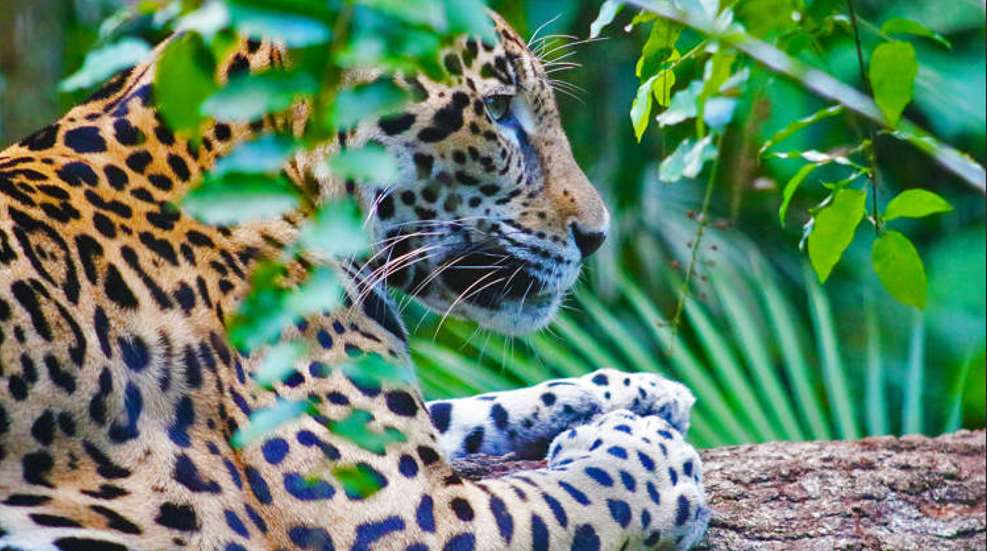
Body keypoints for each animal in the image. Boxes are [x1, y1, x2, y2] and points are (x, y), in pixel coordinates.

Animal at [0, 9, 708, 551]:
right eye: (498, 109)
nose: (598, 235)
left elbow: (470, 407)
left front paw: (637, 391)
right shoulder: (408, 518)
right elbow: (589, 492)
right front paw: (650, 452)